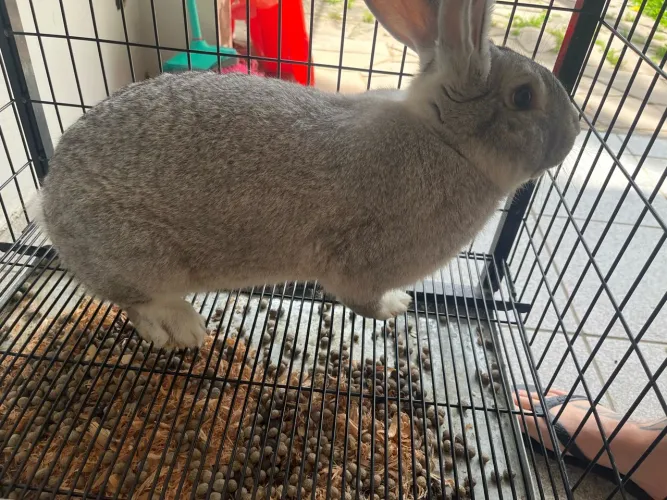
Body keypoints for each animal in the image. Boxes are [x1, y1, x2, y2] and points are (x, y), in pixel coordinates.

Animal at [39, 0, 580, 349]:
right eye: (524, 97)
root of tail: (50, 208)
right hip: (138, 258)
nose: (575, 132)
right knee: (138, 303)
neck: (446, 139)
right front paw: (398, 306)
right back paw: (184, 332)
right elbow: (361, 300)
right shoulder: (365, 264)